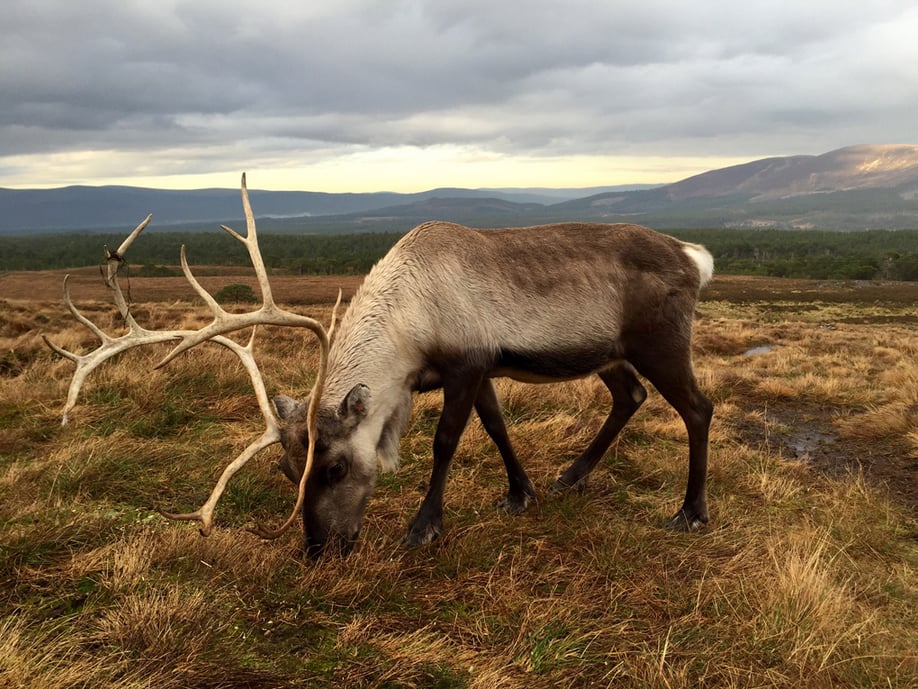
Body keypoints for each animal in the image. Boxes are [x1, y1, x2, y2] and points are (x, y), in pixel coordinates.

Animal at [47, 174, 714, 557]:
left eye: (335, 468)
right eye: (287, 471)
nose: (318, 550)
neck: (410, 318)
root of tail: (695, 254)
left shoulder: (465, 364)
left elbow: (447, 441)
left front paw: (423, 527)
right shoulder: (479, 370)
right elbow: (497, 427)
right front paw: (520, 494)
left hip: (660, 341)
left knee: (698, 407)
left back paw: (690, 513)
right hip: (609, 352)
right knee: (630, 396)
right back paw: (571, 475)